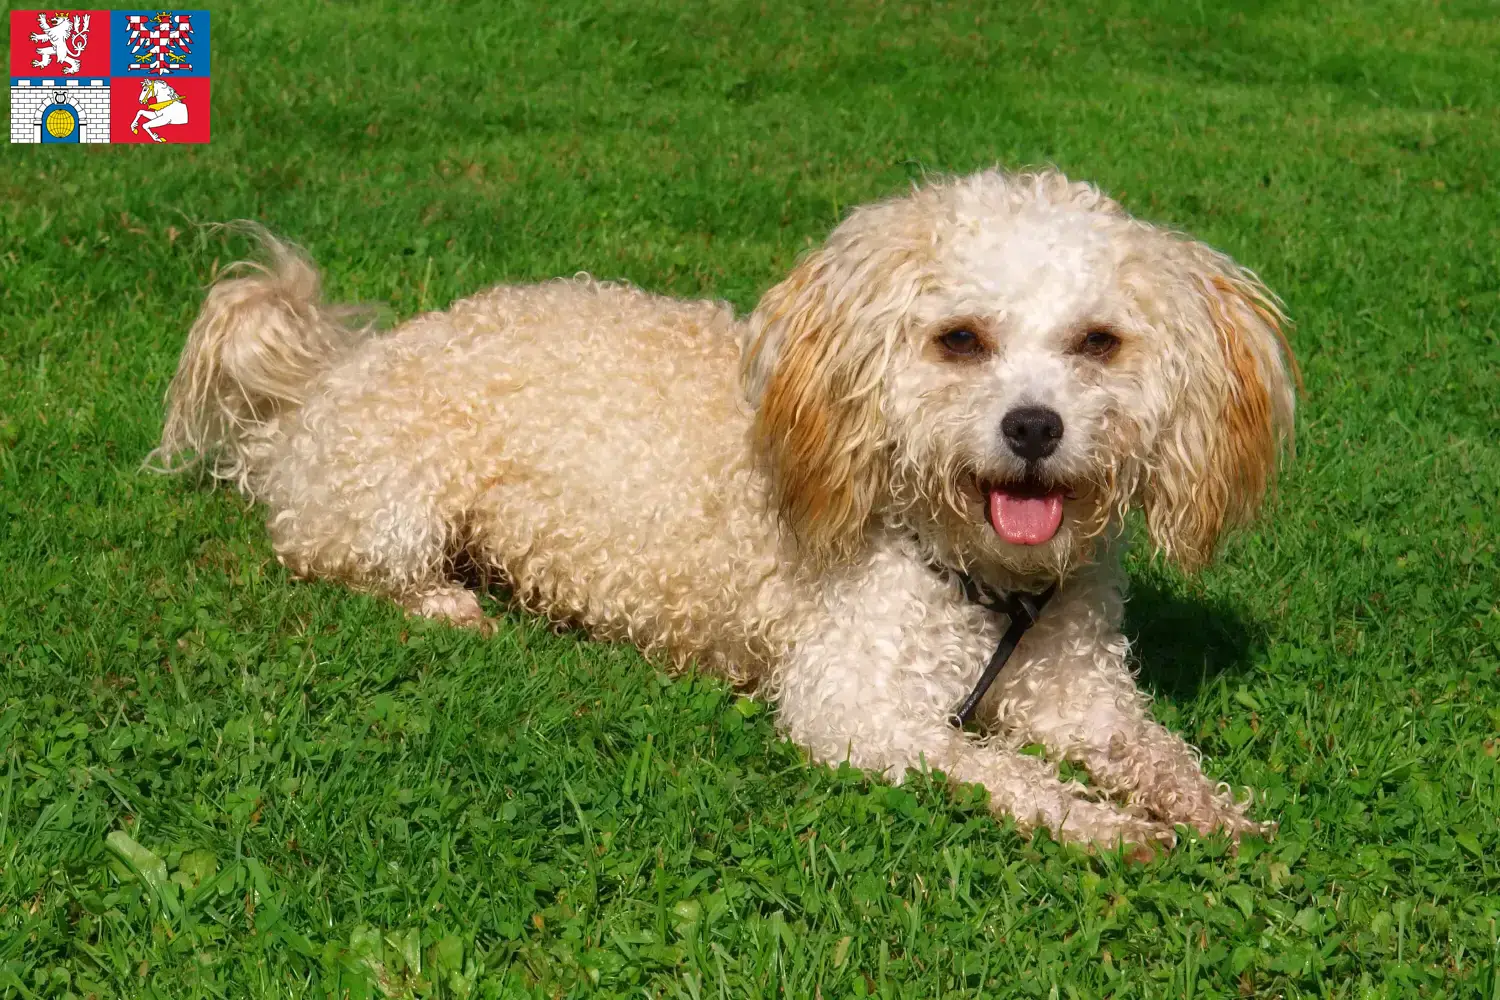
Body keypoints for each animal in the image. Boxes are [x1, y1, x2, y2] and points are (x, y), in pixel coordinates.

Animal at [155, 170, 1302, 845]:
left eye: (1098, 343)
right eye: (960, 340)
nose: (1033, 428)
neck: (979, 575)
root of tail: (325, 383)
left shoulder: (1080, 692)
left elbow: (1150, 747)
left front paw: (1211, 808)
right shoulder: (858, 709)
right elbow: (995, 768)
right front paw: (1108, 826)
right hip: (386, 502)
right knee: (331, 556)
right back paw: (445, 602)